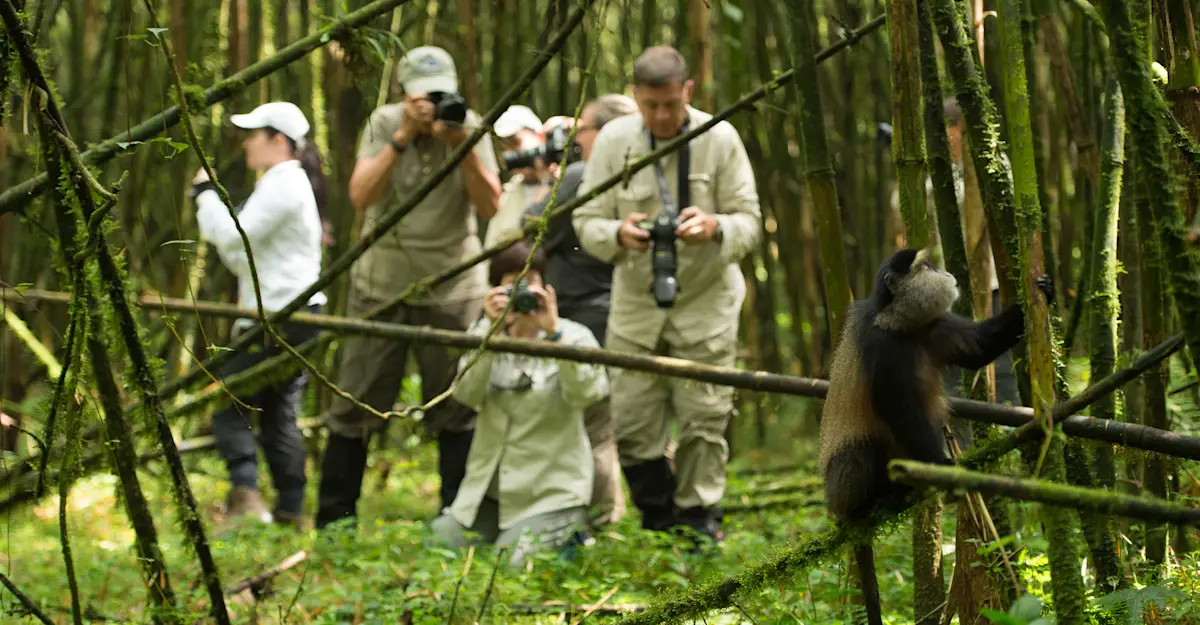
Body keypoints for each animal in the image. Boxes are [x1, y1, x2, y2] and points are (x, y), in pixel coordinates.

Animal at [817, 247, 1054, 625]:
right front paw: (941, 465)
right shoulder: (882, 349)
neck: (901, 324)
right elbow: (901, 411)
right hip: (843, 484)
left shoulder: (936, 326)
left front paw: (1042, 291)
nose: (946, 273)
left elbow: (978, 347)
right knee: (865, 448)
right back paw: (873, 503)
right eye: (926, 266)